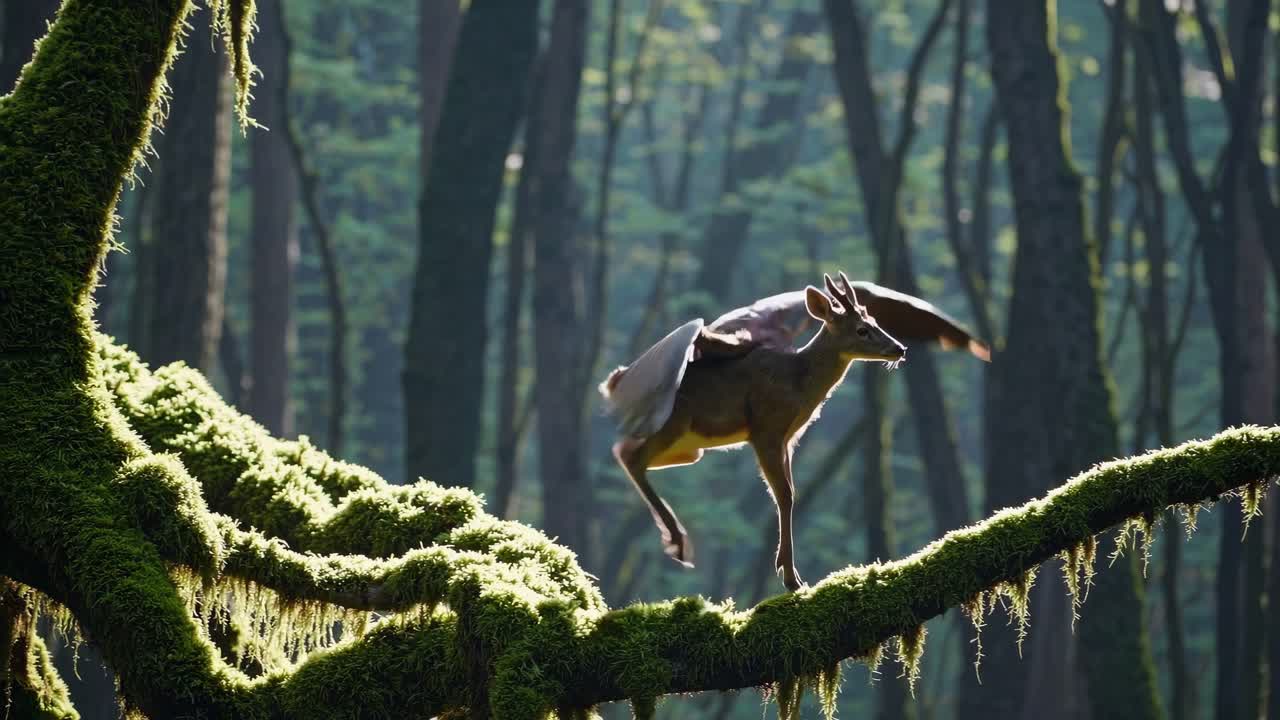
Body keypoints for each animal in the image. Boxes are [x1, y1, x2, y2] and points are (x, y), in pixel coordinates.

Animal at [598, 272, 990, 591]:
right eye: (861, 330)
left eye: (876, 320)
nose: (900, 348)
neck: (798, 383)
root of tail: (615, 380)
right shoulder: (766, 430)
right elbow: (784, 495)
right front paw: (790, 577)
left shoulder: (789, 438)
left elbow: (790, 494)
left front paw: (786, 569)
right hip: (674, 420)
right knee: (633, 455)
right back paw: (678, 542)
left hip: (690, 447)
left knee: (626, 452)